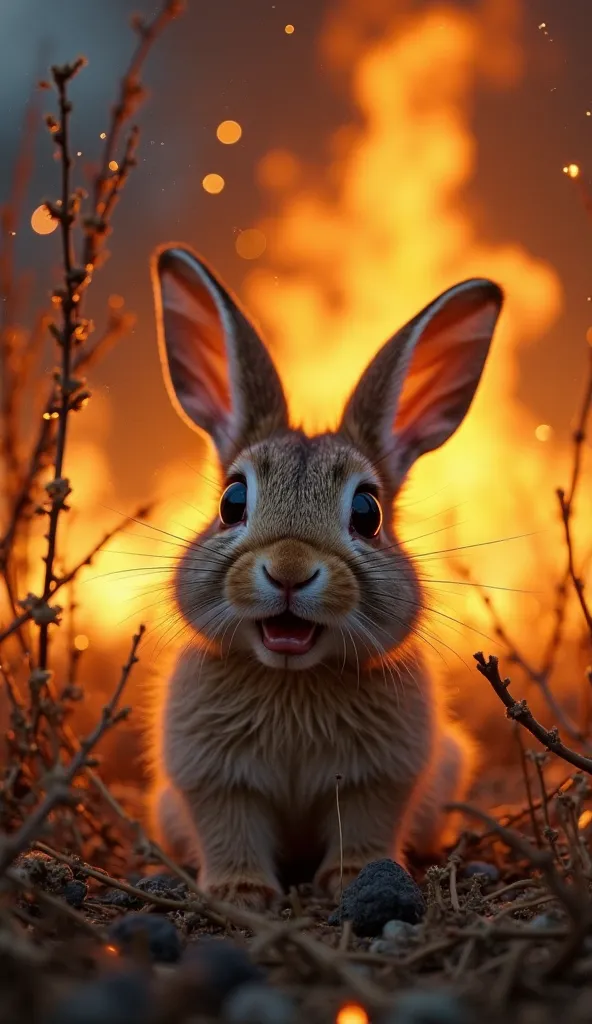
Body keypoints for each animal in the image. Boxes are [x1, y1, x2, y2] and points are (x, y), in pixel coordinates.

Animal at [147, 241, 501, 913]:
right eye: (233, 501)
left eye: (367, 512)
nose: (288, 570)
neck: (293, 679)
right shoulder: (214, 782)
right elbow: (230, 829)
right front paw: (240, 892)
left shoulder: (377, 781)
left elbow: (362, 827)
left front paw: (349, 878)